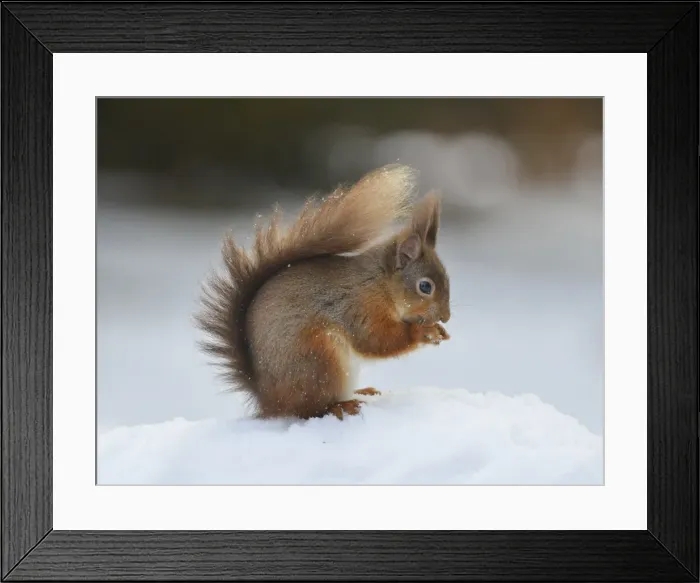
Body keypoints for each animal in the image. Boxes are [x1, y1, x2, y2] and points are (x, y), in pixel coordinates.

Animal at [195, 164, 451, 421]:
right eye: (425, 286)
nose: (446, 317)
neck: (380, 283)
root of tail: (268, 400)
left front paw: (439, 330)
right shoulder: (359, 306)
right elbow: (375, 340)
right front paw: (423, 332)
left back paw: (362, 392)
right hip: (319, 360)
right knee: (310, 409)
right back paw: (341, 405)